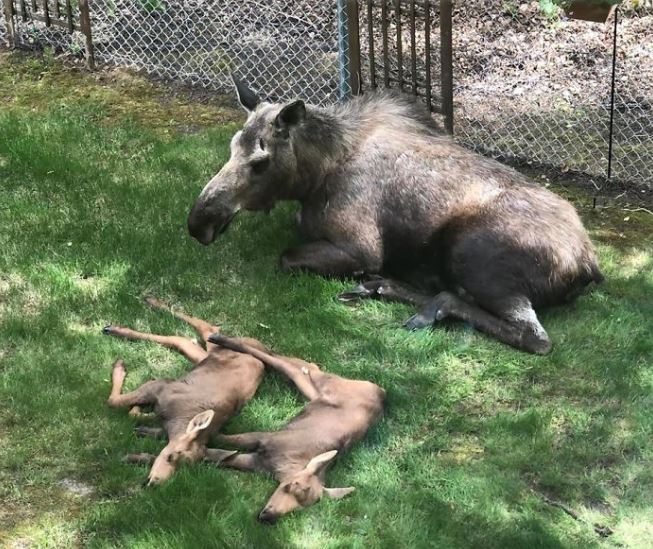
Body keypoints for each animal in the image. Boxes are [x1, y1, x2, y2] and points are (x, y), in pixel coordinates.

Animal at [103, 298, 266, 486]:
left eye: (185, 467)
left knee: (184, 339)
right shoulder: (162, 385)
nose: (155, 482)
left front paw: (140, 416)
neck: (176, 421)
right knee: (205, 329)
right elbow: (114, 401)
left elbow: (134, 414)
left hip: (205, 357)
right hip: (215, 349)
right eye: (171, 456)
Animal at [187, 81, 600, 356]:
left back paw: (420, 300)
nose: (199, 221)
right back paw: (386, 287)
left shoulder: (361, 247)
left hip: (472, 253)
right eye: (231, 147)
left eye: (261, 161)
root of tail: (588, 264)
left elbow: (286, 257)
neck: (314, 175)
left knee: (533, 337)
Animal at [206, 332, 384, 524]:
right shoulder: (265, 438)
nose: (268, 516)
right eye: (290, 486)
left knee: (297, 363)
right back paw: (219, 339)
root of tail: (382, 392)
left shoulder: (257, 462)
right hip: (323, 383)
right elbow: (226, 438)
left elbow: (221, 457)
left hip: (314, 390)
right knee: (284, 363)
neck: (281, 467)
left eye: (301, 508)